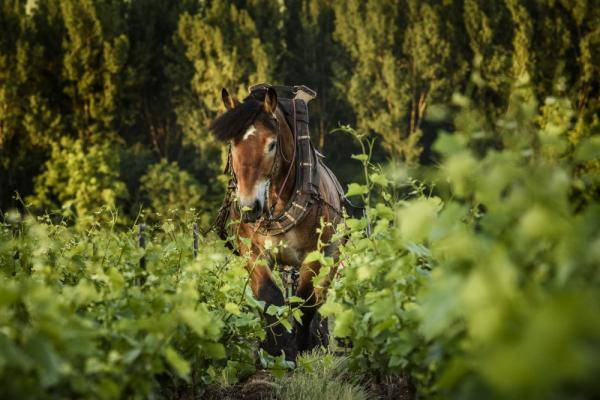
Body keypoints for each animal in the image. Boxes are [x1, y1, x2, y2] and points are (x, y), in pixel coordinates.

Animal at [210, 83, 346, 360]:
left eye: (272, 145)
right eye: (232, 144)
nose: (250, 207)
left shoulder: (314, 254)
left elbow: (305, 302)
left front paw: (302, 346)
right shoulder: (251, 250)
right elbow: (268, 296)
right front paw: (276, 347)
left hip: (333, 255)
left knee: (319, 297)